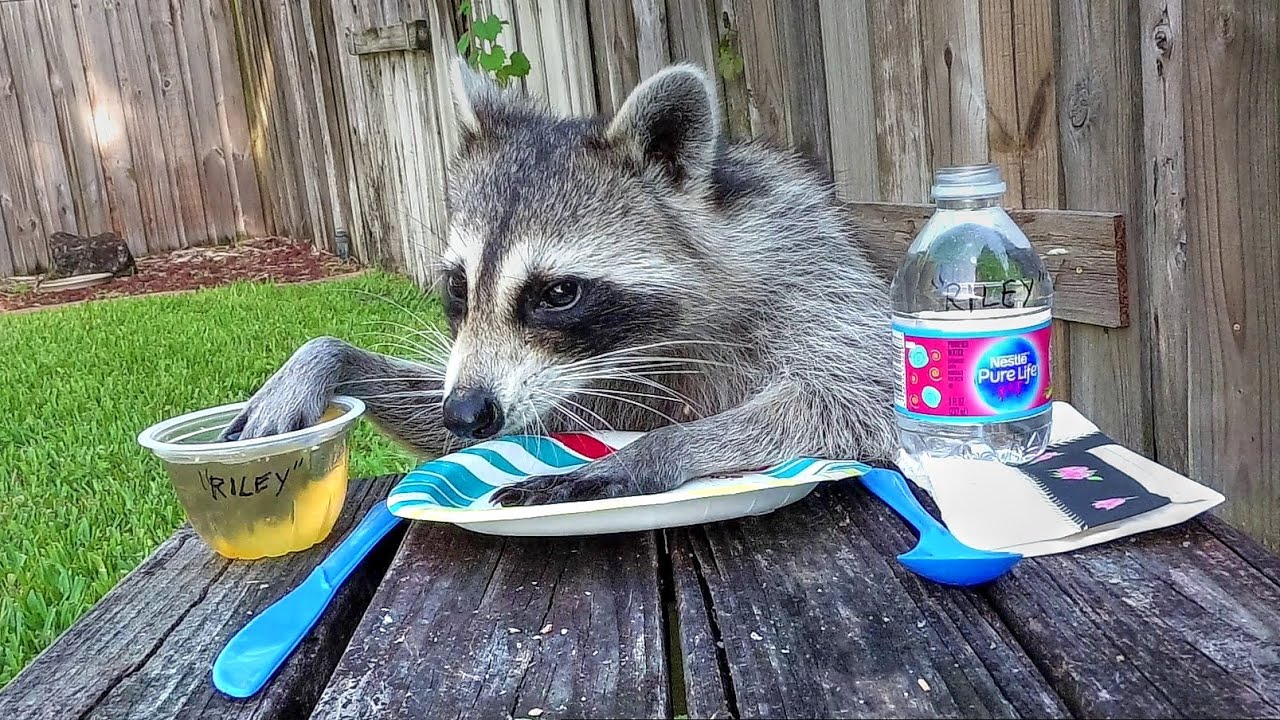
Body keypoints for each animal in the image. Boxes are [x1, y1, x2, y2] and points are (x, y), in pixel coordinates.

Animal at [223, 60, 898, 506]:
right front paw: (325, 358)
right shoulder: (578, 381)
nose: (465, 412)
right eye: (458, 286)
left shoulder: (816, 287)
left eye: (558, 294)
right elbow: (515, 427)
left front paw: (658, 449)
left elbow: (855, 401)